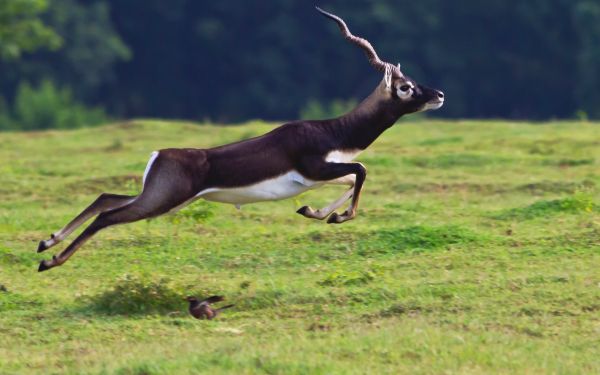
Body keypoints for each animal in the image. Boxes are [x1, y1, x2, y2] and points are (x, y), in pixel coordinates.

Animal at [36, 8, 440, 274]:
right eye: (405, 87)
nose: (438, 94)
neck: (334, 130)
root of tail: (159, 154)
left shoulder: (321, 174)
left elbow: (349, 179)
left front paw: (315, 212)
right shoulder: (316, 167)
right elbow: (362, 169)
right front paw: (336, 217)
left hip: (158, 195)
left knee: (106, 197)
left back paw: (47, 242)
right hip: (162, 201)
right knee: (107, 215)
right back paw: (50, 261)